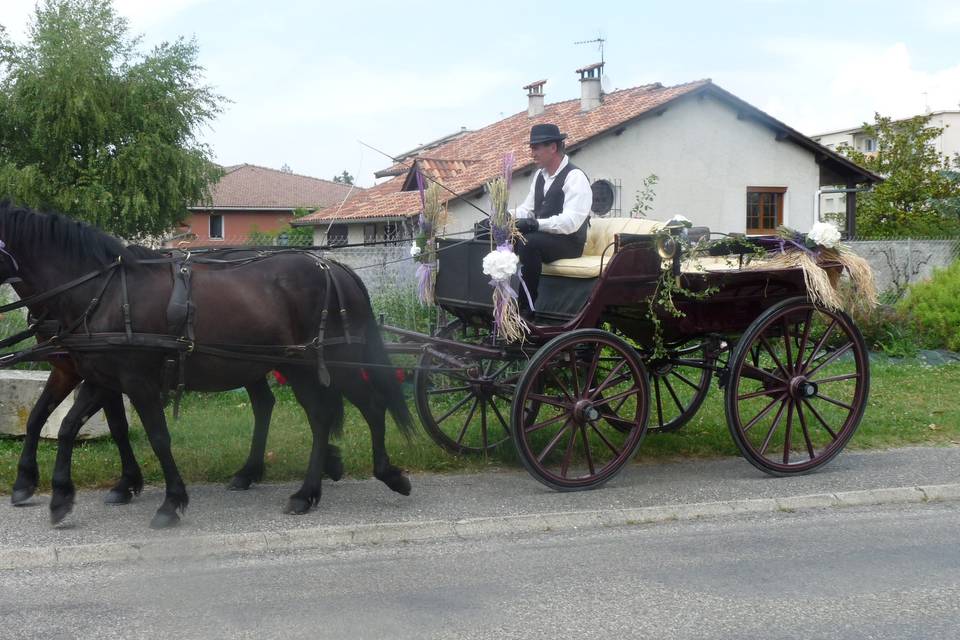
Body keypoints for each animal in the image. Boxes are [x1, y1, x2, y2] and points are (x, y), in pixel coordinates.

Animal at [0, 202, 412, 528]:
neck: (104, 293)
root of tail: (334, 267)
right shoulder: (97, 377)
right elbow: (63, 425)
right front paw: (57, 494)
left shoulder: (134, 381)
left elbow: (156, 437)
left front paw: (170, 502)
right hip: (292, 366)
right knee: (314, 414)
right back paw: (301, 487)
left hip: (331, 362)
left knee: (368, 406)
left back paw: (384, 475)